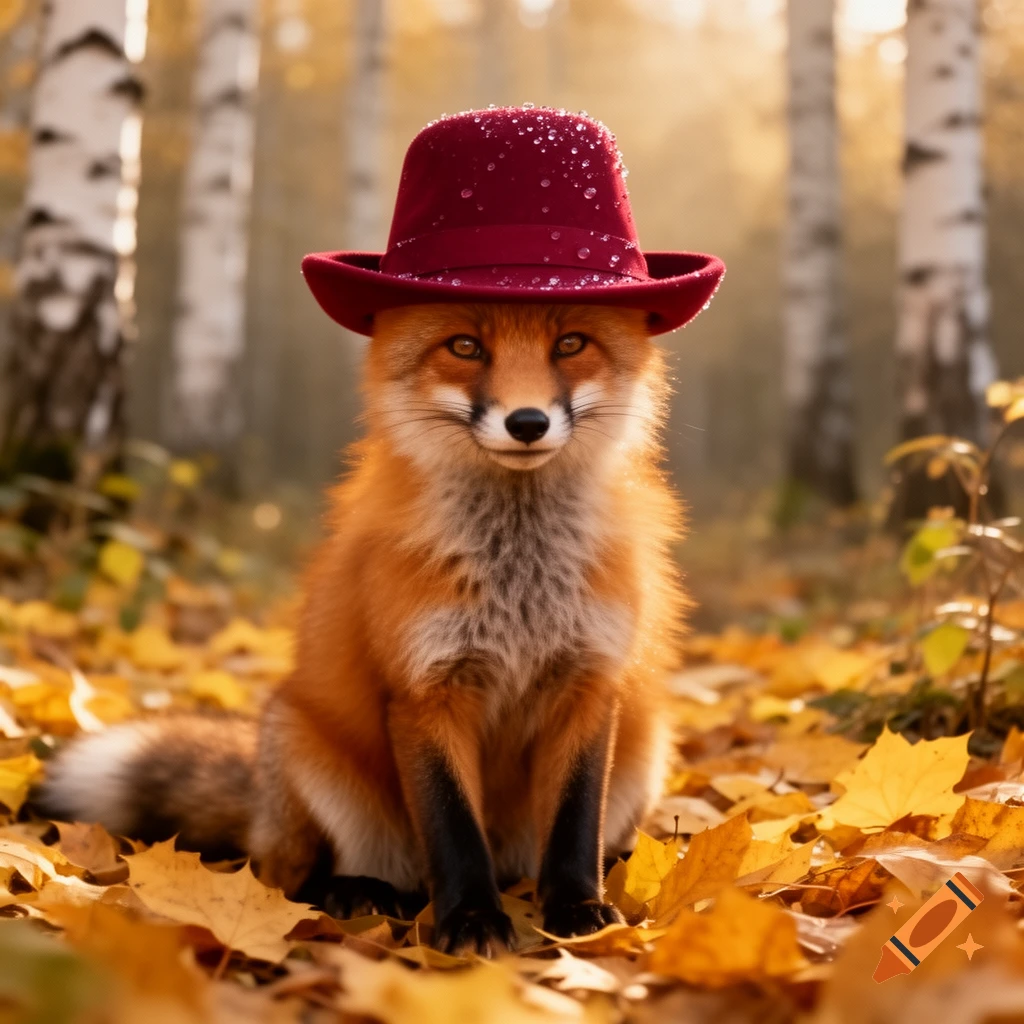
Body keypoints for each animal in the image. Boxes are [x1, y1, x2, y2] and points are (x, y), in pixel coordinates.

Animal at [37, 301, 687, 954]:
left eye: (571, 343)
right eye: (466, 347)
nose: (527, 422)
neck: (519, 583)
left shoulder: (589, 682)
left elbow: (576, 822)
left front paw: (579, 909)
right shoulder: (423, 691)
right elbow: (453, 828)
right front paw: (471, 921)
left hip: (647, 744)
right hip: (303, 745)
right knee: (291, 879)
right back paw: (355, 894)